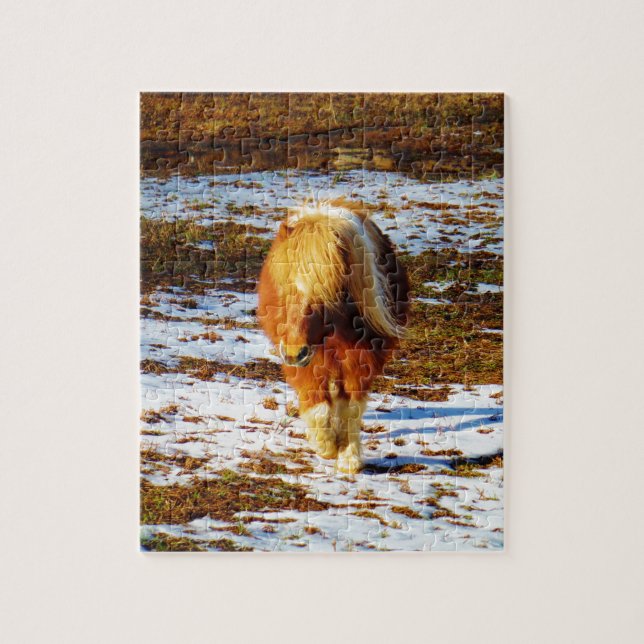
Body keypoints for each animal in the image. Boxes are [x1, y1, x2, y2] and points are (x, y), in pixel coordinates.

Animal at [257, 198, 410, 473]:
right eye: (284, 290)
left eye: (325, 295)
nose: (294, 352)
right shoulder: (305, 363)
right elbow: (317, 405)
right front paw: (325, 446)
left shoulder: (362, 359)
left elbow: (351, 409)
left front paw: (349, 457)